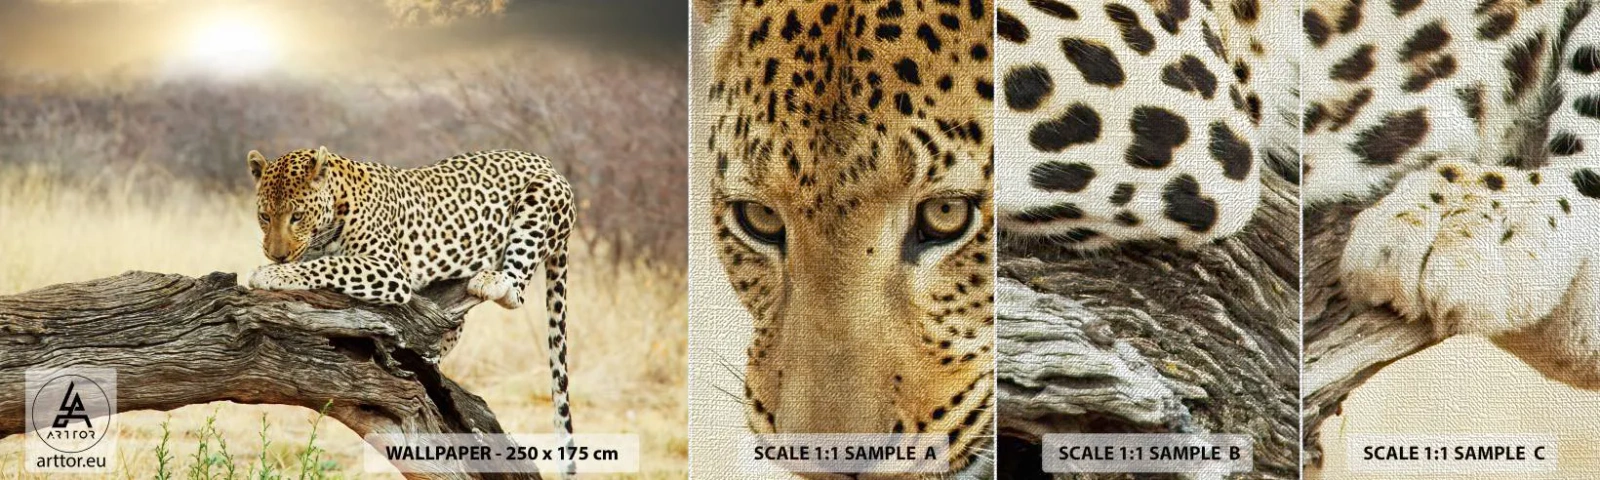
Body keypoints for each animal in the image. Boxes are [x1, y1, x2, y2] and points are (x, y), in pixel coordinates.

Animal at [244, 146, 577, 478]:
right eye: (264, 217)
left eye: (297, 216)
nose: (276, 255)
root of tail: (546, 162)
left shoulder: (388, 268)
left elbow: (329, 264)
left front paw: (271, 274)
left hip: (539, 199)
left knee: (516, 290)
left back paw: (492, 281)